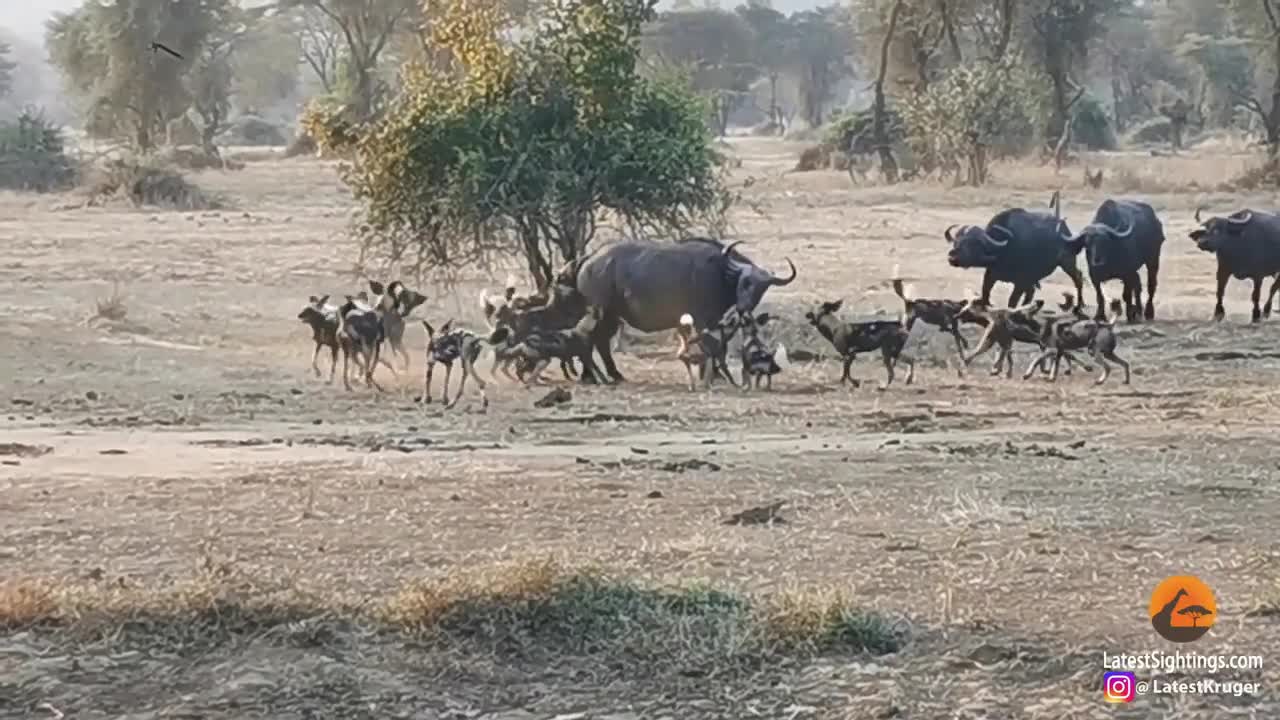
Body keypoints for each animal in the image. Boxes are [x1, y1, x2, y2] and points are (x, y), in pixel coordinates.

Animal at [568, 237, 788, 381]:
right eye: (745, 282)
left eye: (762, 288)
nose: (745, 307)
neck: (721, 271)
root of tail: (590, 258)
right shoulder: (702, 320)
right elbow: (710, 346)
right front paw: (710, 374)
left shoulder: (714, 320)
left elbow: (719, 346)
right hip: (600, 312)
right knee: (591, 338)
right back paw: (592, 375)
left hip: (612, 316)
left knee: (600, 341)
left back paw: (612, 374)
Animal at [947, 196, 1085, 308]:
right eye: (957, 242)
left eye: (973, 244)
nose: (952, 258)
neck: (1003, 249)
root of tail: (1065, 229)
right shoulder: (991, 274)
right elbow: (985, 294)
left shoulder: (1021, 282)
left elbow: (1012, 302)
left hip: (1067, 261)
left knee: (1078, 277)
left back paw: (1080, 303)